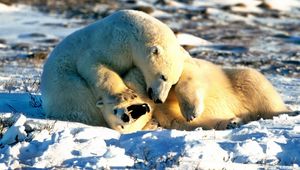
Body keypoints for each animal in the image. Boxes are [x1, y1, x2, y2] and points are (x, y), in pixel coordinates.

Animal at [40, 9, 189, 128]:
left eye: (173, 82)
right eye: (163, 76)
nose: (159, 100)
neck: (132, 33)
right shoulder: (113, 43)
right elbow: (93, 64)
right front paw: (126, 93)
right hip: (65, 86)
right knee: (81, 98)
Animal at [110, 57, 288, 131]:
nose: (125, 117)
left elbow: (185, 77)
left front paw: (192, 111)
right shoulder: (162, 112)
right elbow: (182, 121)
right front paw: (231, 122)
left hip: (238, 80)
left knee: (255, 85)